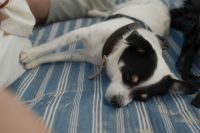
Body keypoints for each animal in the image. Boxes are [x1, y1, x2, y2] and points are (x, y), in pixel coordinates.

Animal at [19, 0, 195, 107]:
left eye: (142, 98)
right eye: (128, 75)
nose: (117, 103)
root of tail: (164, 4)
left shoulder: (83, 55)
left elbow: (58, 56)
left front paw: (33, 61)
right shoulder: (81, 33)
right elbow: (55, 44)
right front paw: (31, 53)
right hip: (125, 4)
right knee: (109, 9)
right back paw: (93, 12)